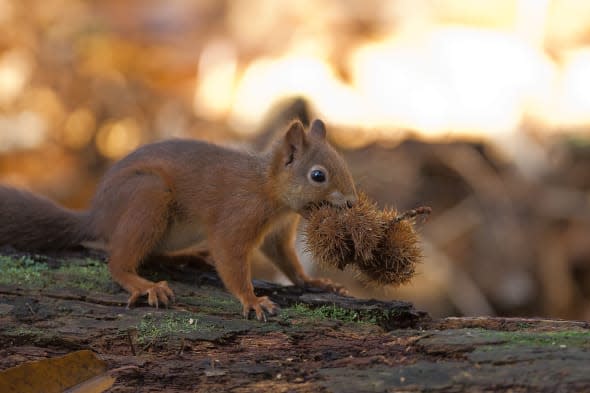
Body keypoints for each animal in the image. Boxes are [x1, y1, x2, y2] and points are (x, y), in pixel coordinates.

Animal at [0, 118, 356, 318]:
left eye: (342, 162)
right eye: (318, 175)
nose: (352, 203)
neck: (268, 189)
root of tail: (97, 216)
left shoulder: (277, 233)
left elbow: (287, 262)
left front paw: (313, 282)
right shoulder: (237, 216)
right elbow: (230, 256)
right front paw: (252, 299)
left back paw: (190, 258)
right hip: (148, 197)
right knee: (117, 261)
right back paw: (145, 285)